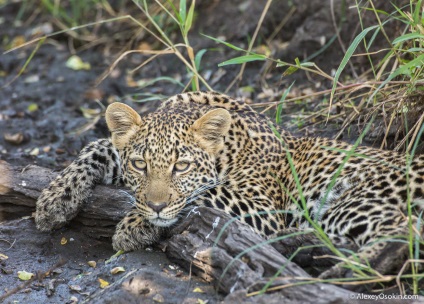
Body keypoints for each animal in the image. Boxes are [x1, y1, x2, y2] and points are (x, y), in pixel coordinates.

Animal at [35, 91, 424, 280]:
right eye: (140, 164)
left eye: (182, 166)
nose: (156, 207)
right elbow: (99, 146)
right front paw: (55, 198)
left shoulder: (262, 207)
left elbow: (204, 193)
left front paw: (134, 226)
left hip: (349, 199)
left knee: (401, 230)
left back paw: (341, 272)